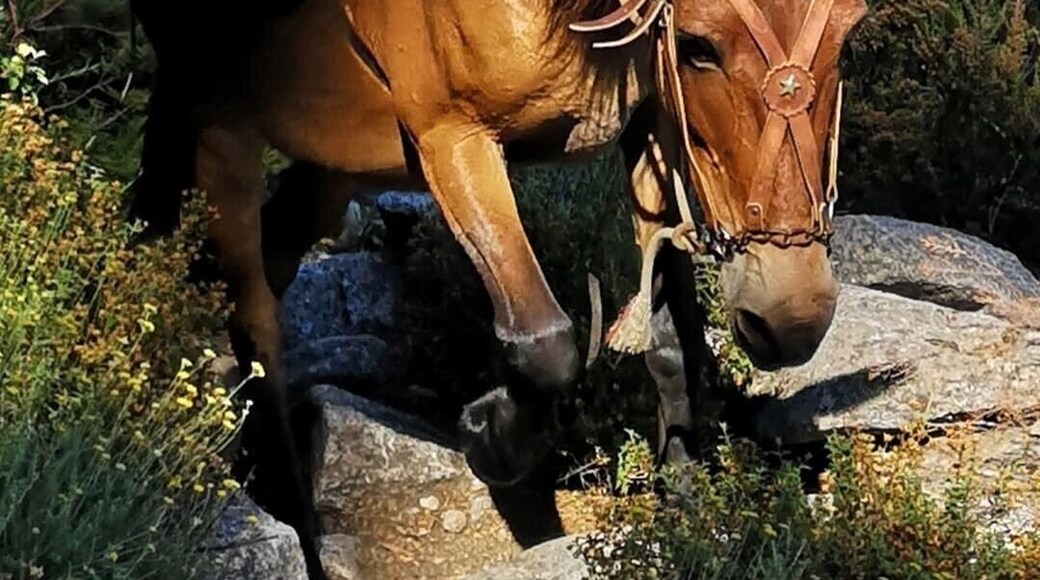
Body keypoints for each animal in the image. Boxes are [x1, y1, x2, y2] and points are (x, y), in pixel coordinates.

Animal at [127, 0, 866, 577]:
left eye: (848, 36)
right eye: (699, 47)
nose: (792, 317)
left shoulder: (650, 124)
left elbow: (669, 340)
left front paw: (686, 504)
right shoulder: (453, 140)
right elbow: (544, 341)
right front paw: (491, 434)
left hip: (329, 154)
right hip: (217, 117)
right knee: (248, 310)